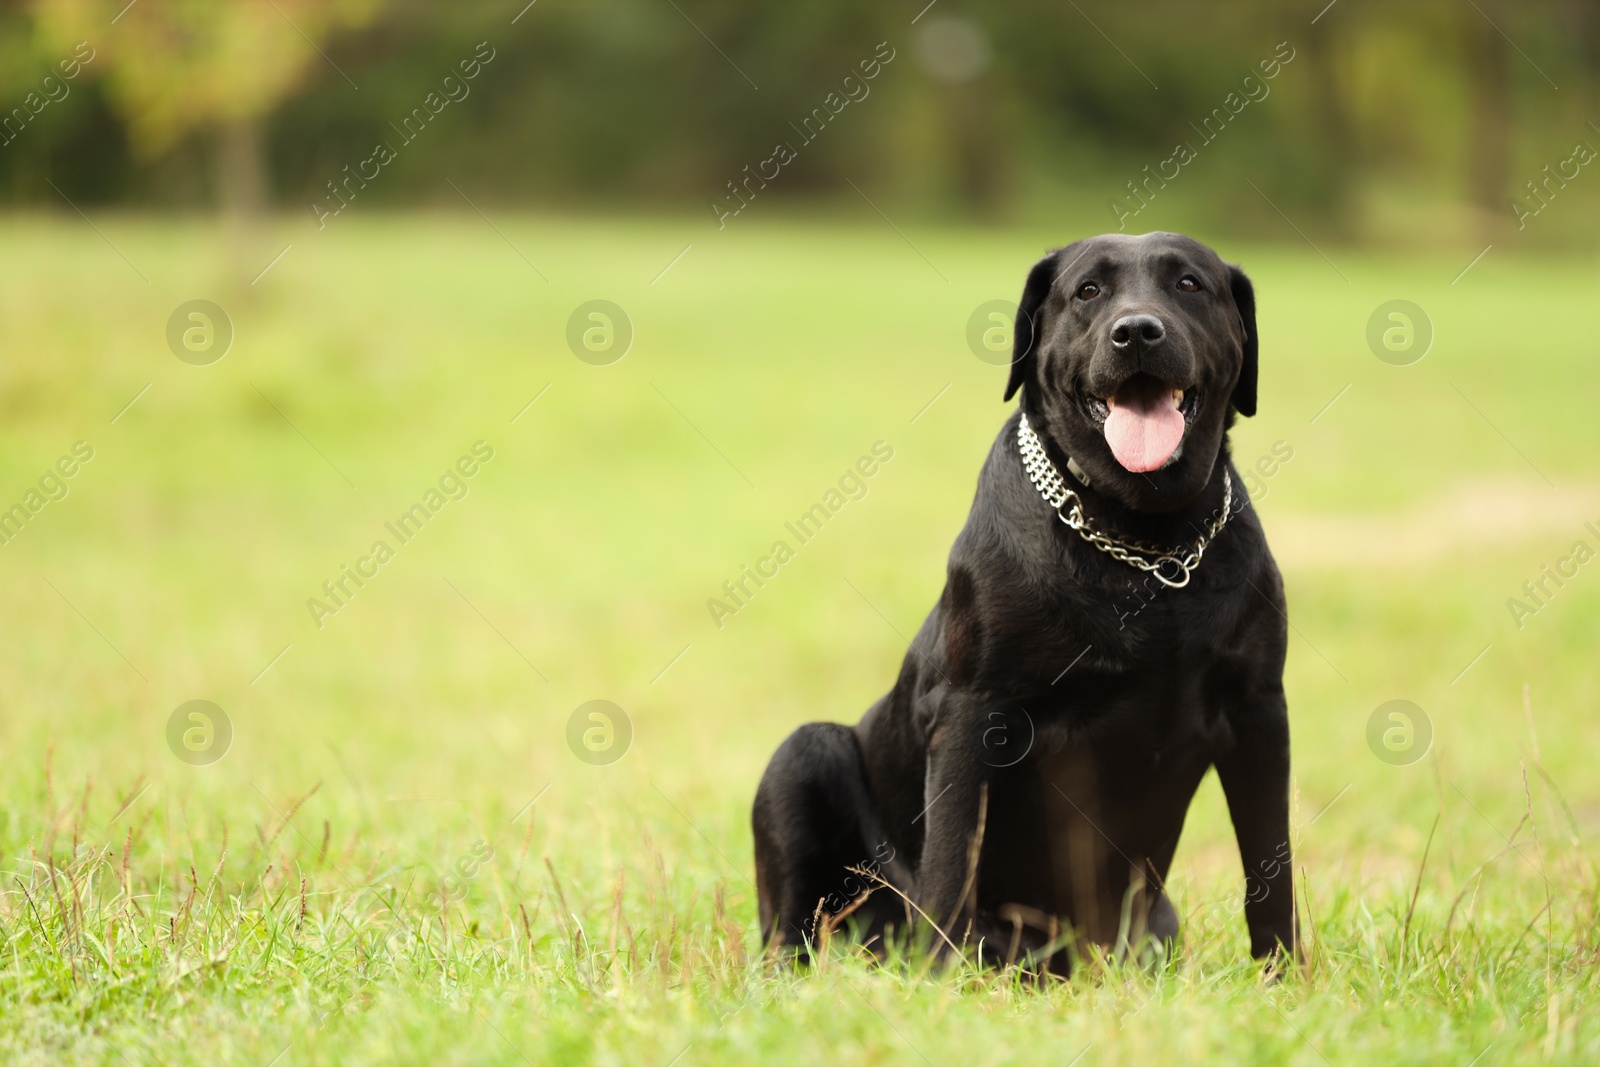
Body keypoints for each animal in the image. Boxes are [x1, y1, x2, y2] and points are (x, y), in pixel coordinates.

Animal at [755, 233, 1292, 979]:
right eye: (1088, 291)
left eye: (1189, 284)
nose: (1137, 331)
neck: (1144, 542)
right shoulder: (970, 709)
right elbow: (954, 857)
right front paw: (939, 979)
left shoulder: (1259, 708)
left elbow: (1272, 867)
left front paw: (1286, 979)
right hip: (802, 756)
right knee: (794, 925)